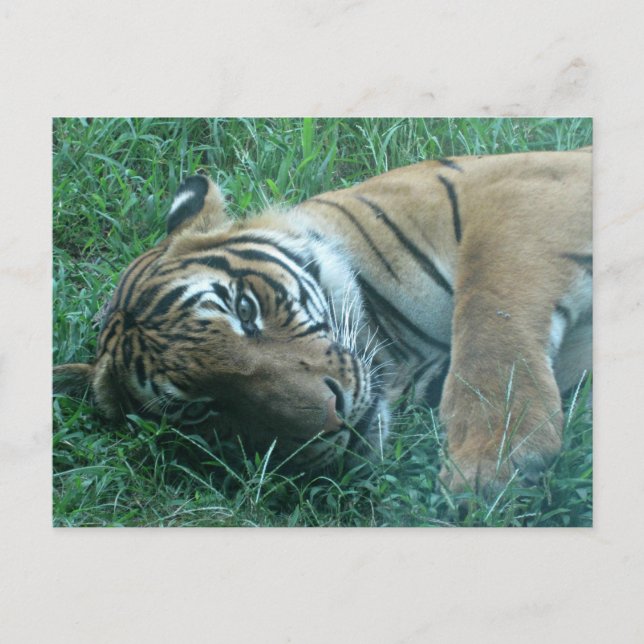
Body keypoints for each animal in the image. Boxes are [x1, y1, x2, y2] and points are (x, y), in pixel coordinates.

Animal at [53, 147, 592, 496]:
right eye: (199, 411)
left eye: (244, 309)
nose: (332, 418)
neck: (401, 351)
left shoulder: (518, 188)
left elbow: (489, 313)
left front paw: (490, 461)